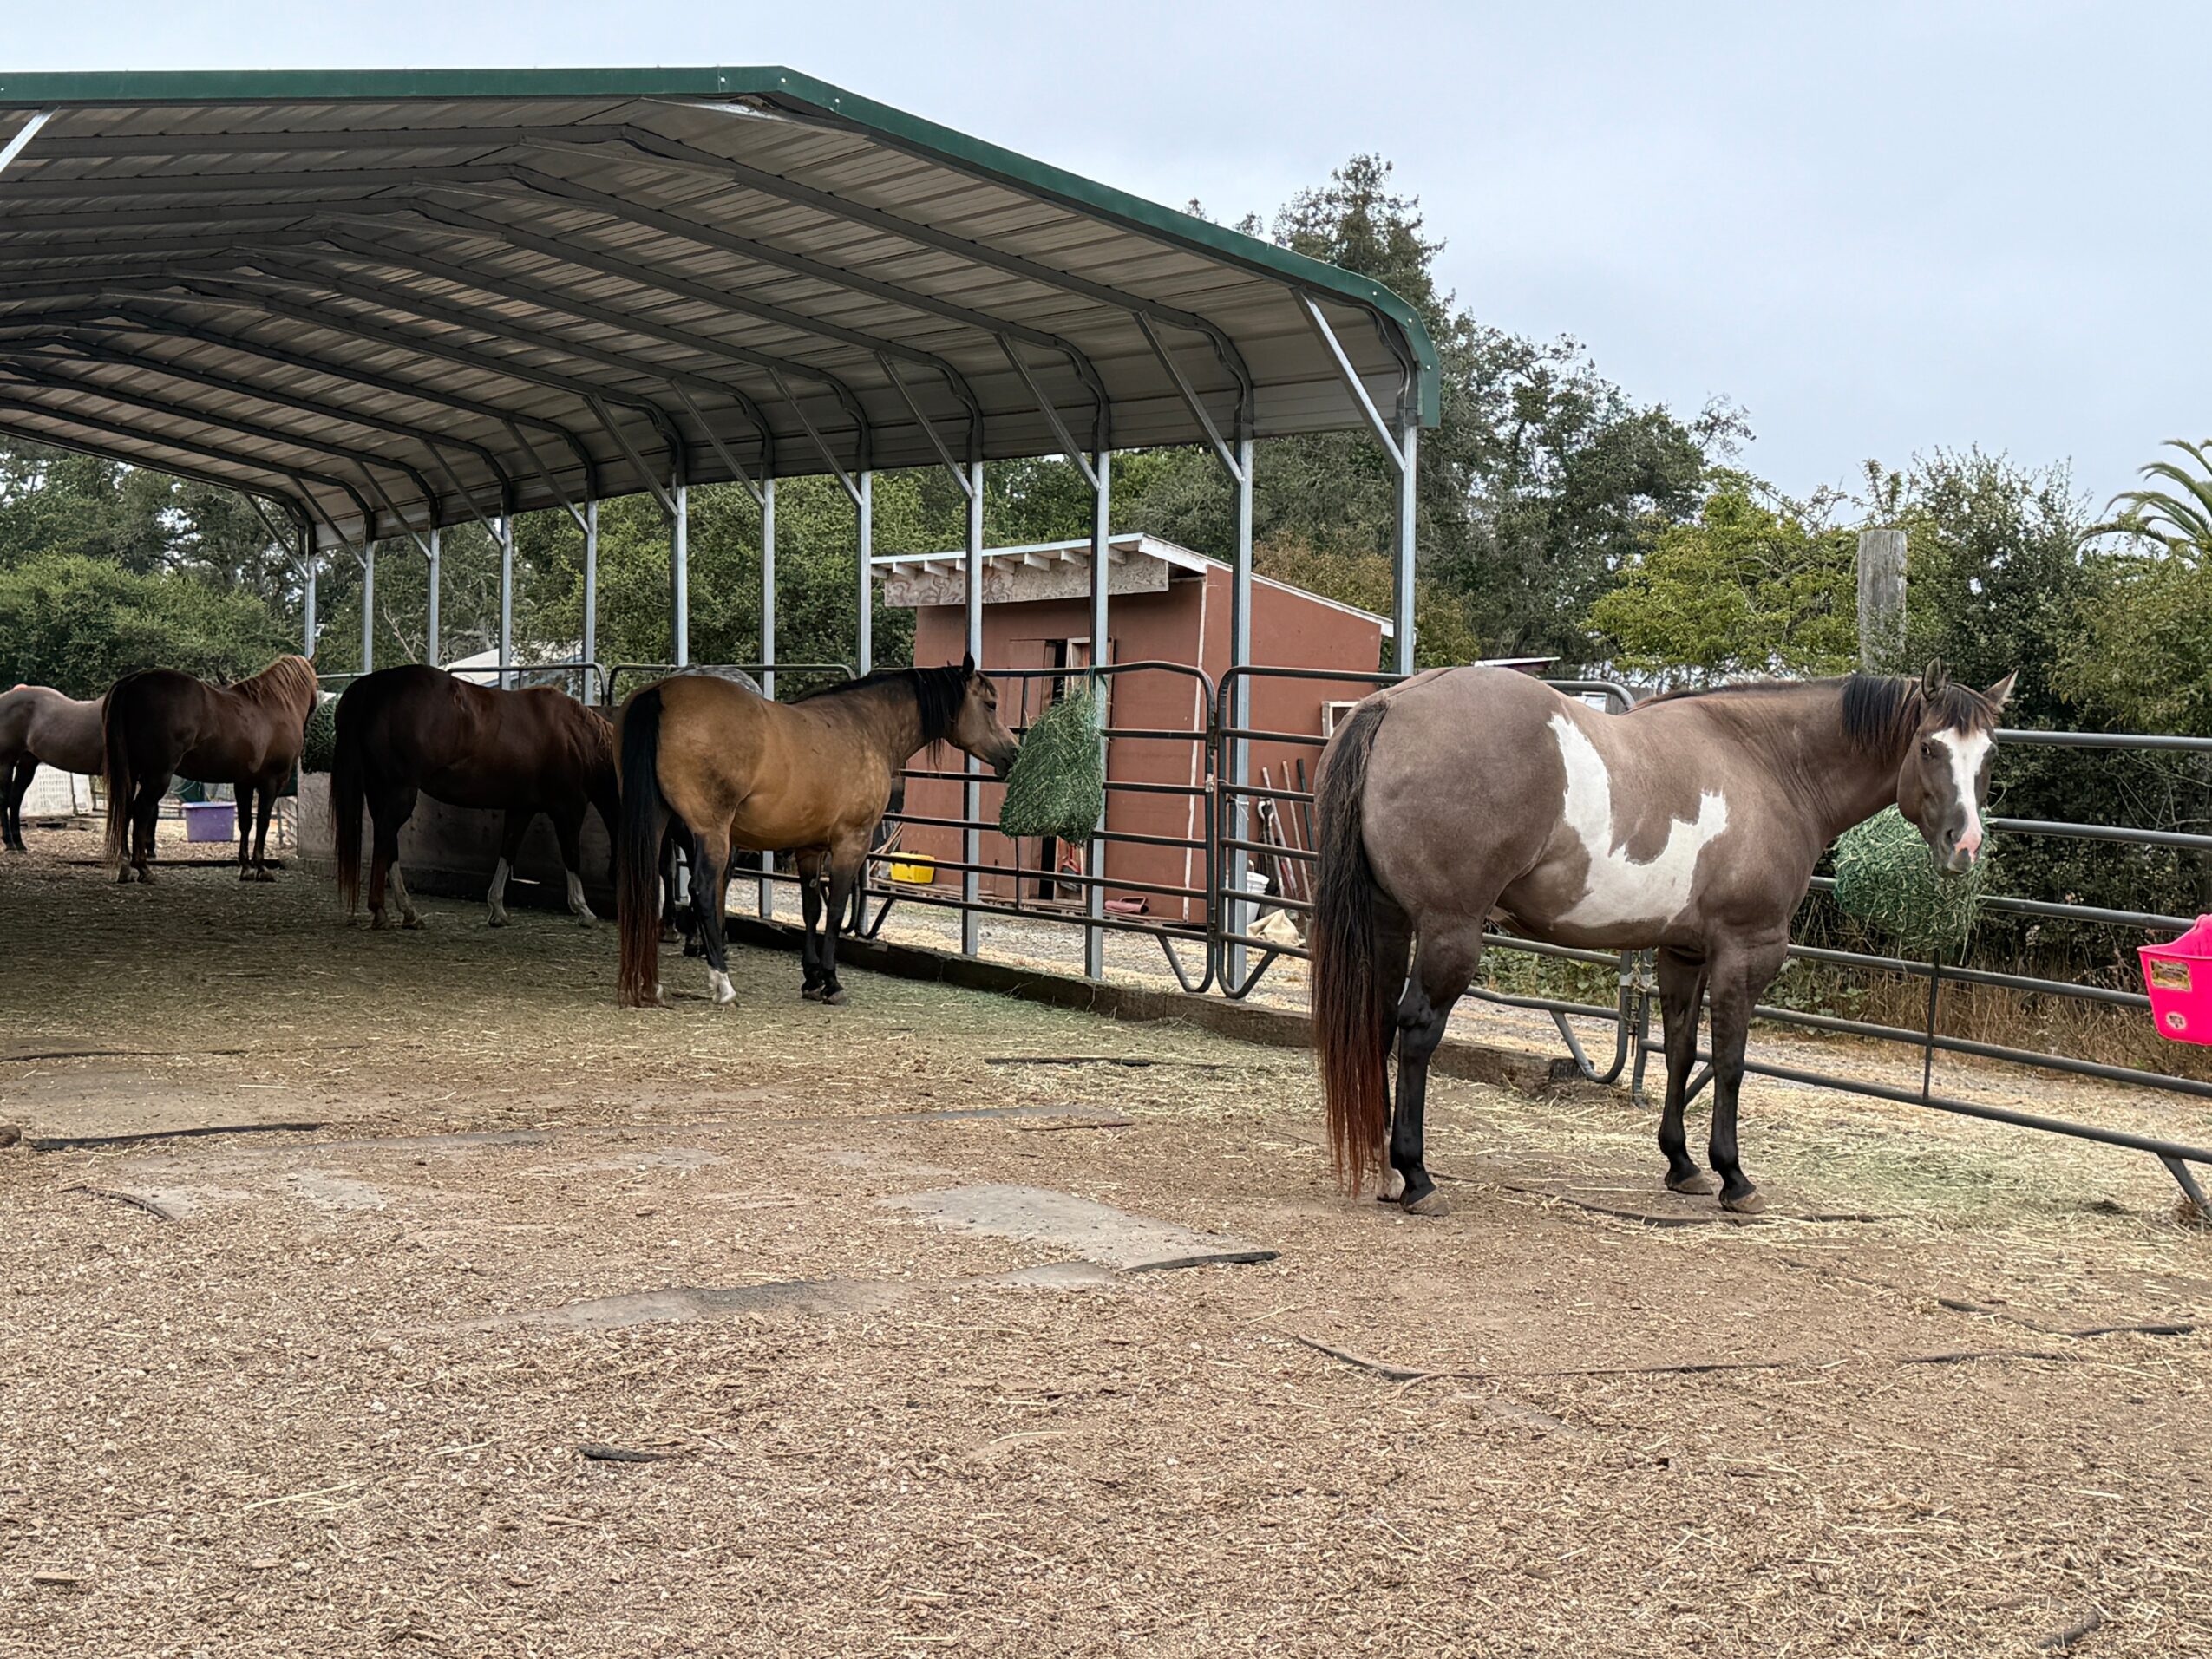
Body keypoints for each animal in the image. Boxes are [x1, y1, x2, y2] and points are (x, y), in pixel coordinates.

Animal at [0, 685, 104, 851]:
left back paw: (19, 843)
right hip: (6, 762)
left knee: (15, 799)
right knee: (4, 800)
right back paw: (10, 843)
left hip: (27, 762)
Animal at [102, 655, 319, 883]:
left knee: (125, 809)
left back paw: (125, 867)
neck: (273, 707)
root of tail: (132, 682)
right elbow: (263, 822)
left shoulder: (243, 783)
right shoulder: (271, 782)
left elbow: (246, 822)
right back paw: (143, 868)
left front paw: (246, 867)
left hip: (132, 772)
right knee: (141, 810)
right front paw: (261, 867)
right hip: (157, 775)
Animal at [330, 664, 620, 929]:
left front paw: (497, 909)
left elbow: (508, 850)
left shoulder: (521, 808)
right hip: (401, 791)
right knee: (385, 837)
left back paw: (408, 913)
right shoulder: (568, 809)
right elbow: (572, 857)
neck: (576, 736)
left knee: (387, 842)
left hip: (380, 791)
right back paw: (383, 911)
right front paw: (584, 910)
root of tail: (373, 685)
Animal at [614, 657, 1019, 1009]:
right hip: (711, 833)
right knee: (701, 890)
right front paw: (831, 981)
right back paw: (722, 982)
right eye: (991, 704)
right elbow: (836, 909)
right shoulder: (851, 843)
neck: (866, 725)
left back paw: (651, 983)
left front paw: (810, 978)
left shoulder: (808, 848)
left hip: (658, 824)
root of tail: (661, 693)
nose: (1013, 753)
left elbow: (811, 910)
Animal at [1311, 662, 2013, 1218]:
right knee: (1416, 1030)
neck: (1769, 765)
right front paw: (1734, 1176)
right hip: (1449, 933)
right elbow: (1729, 1060)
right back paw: (1416, 1176)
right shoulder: (1746, 951)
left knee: (1377, 1020)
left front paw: (1682, 1165)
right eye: (1929, 747)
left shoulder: (1684, 952)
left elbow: (1680, 1051)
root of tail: (1390, 705)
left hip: (1390, 922)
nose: (1965, 846)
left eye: (1988, 756)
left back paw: (1383, 1167)